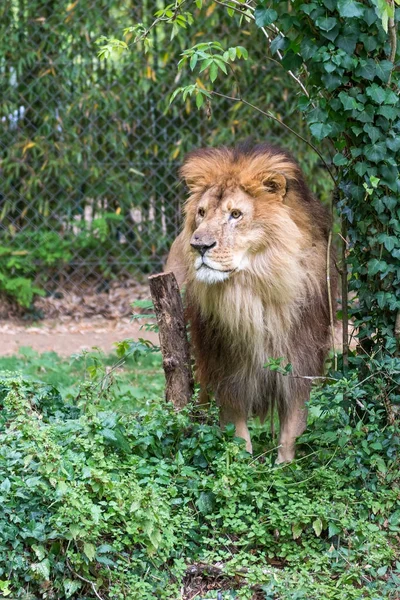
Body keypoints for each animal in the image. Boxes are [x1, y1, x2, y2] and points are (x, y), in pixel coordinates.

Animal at [164, 143, 336, 462]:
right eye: (202, 213)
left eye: (235, 214)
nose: (199, 245)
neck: (252, 292)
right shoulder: (226, 368)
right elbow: (236, 429)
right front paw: (243, 464)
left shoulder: (299, 360)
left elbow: (292, 427)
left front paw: (283, 467)